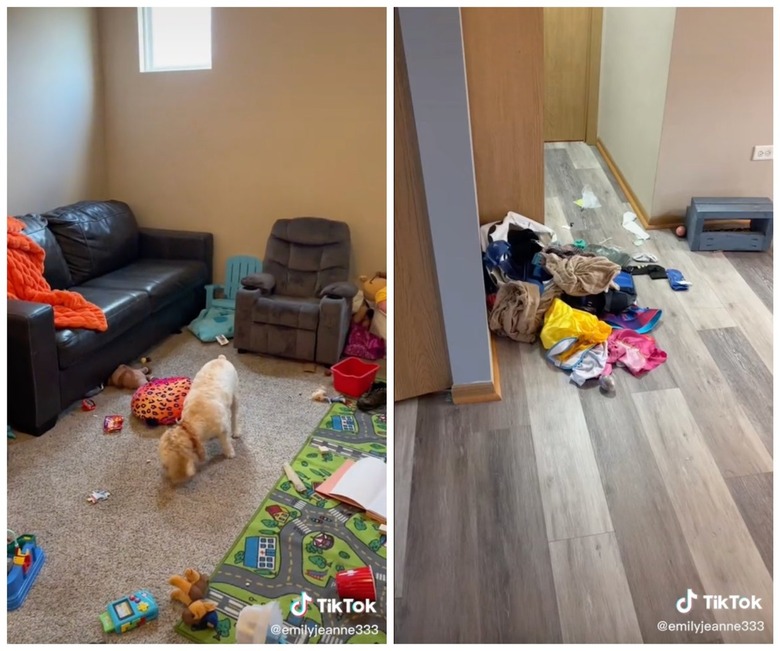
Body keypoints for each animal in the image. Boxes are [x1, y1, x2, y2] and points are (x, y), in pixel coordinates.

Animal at [160, 354, 239, 482]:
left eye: (169, 464)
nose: (170, 479)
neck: (191, 425)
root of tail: (221, 359)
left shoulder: (223, 429)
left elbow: (226, 442)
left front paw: (229, 453)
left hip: (235, 394)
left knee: (235, 415)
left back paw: (236, 431)